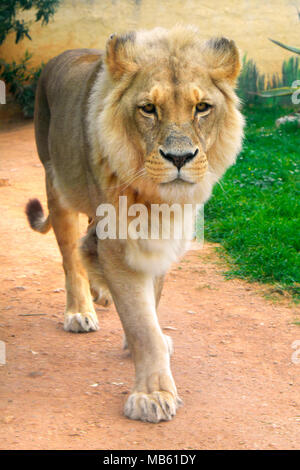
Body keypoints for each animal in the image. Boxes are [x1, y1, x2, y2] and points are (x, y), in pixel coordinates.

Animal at [25, 24, 245, 422]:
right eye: (148, 109)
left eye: (202, 108)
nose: (179, 158)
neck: (156, 201)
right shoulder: (119, 243)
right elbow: (144, 325)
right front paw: (152, 394)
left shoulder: (163, 237)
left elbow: (151, 304)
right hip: (55, 183)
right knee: (70, 258)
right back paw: (80, 310)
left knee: (86, 245)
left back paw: (100, 291)